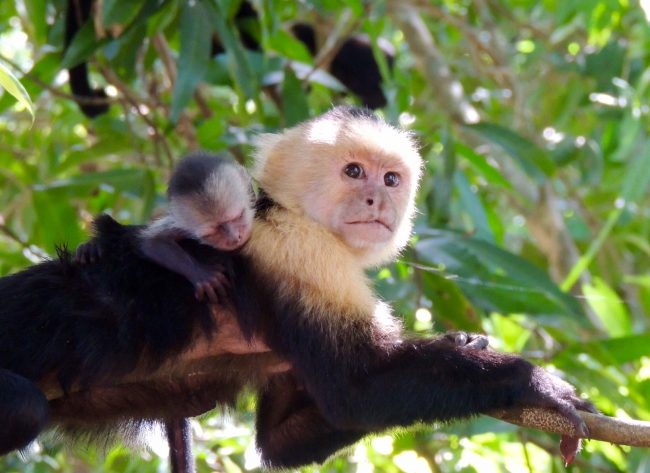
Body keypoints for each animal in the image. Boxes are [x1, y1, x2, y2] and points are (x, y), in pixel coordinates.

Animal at [77, 153, 254, 304]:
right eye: (211, 233)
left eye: (238, 216)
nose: (234, 238)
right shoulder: (183, 225)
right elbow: (152, 243)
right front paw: (202, 275)